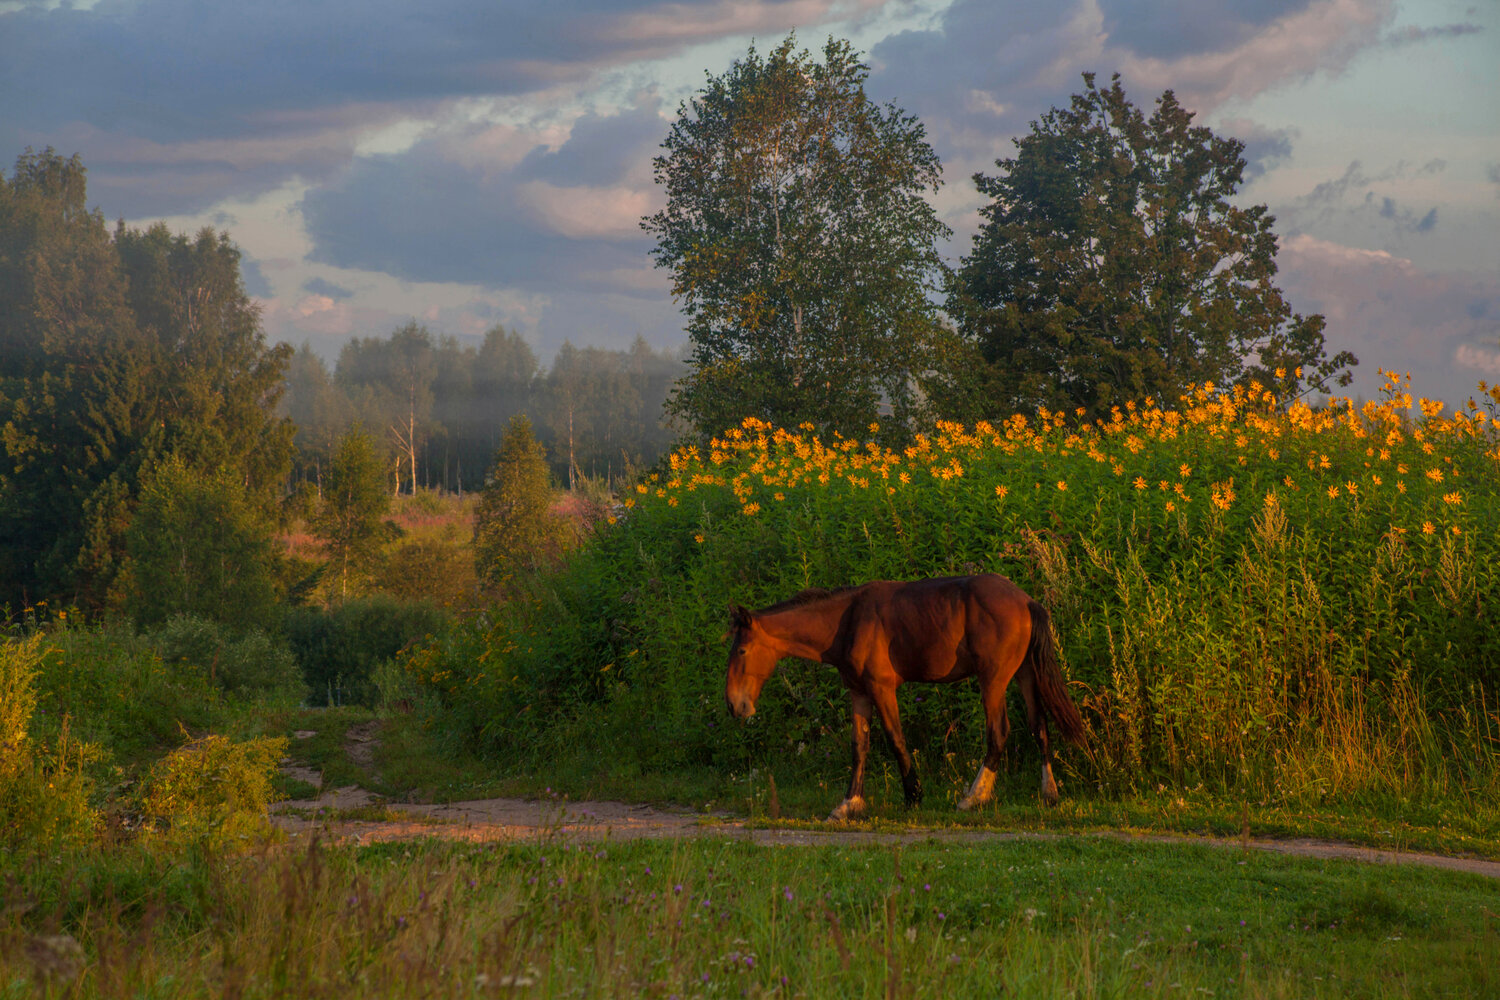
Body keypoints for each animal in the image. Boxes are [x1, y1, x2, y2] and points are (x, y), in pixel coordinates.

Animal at [724, 574, 1087, 820]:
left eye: (741, 650)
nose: (733, 705)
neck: (848, 620)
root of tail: (1026, 600)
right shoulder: (859, 692)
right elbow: (860, 746)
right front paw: (849, 803)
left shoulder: (882, 688)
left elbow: (895, 739)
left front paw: (913, 795)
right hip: (1025, 674)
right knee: (1039, 728)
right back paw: (1049, 794)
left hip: (993, 680)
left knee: (998, 733)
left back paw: (974, 797)